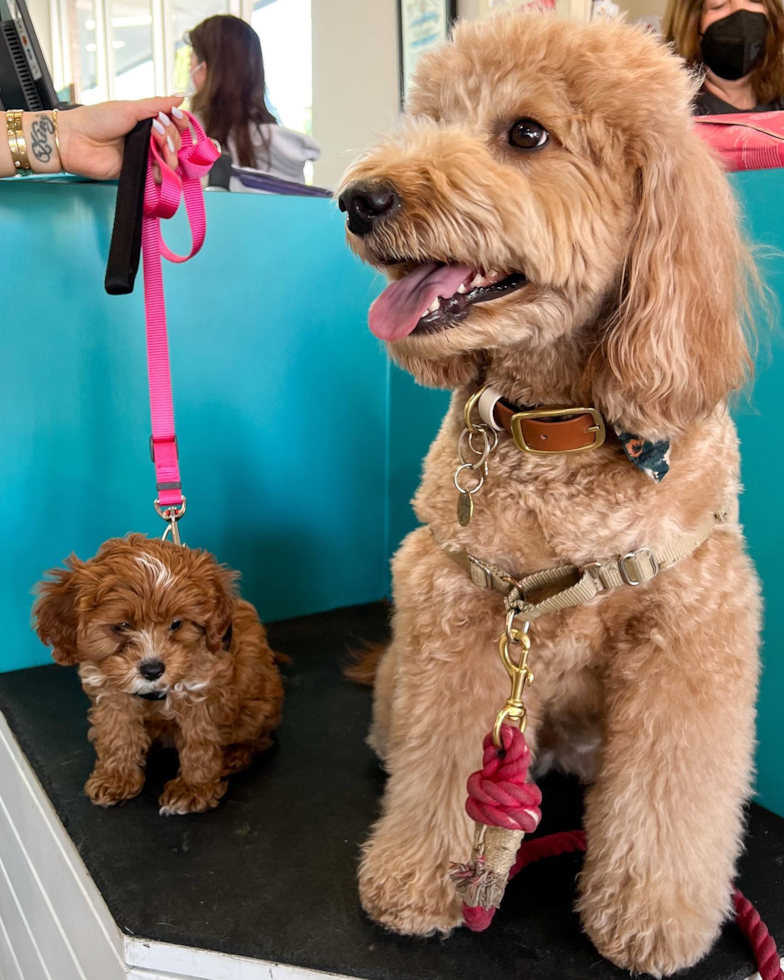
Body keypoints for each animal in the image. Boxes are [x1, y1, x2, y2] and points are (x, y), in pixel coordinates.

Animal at [35, 532, 284, 816]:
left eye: (176, 623)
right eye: (121, 626)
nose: (153, 669)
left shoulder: (201, 693)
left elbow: (199, 743)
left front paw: (193, 789)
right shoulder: (110, 693)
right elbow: (116, 734)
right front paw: (115, 778)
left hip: (256, 710)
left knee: (259, 738)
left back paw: (234, 756)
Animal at [336, 11, 760, 976]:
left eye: (526, 134)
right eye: (433, 118)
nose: (359, 198)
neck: (557, 422)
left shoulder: (693, 625)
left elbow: (673, 791)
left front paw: (654, 915)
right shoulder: (460, 605)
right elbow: (444, 762)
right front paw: (420, 879)